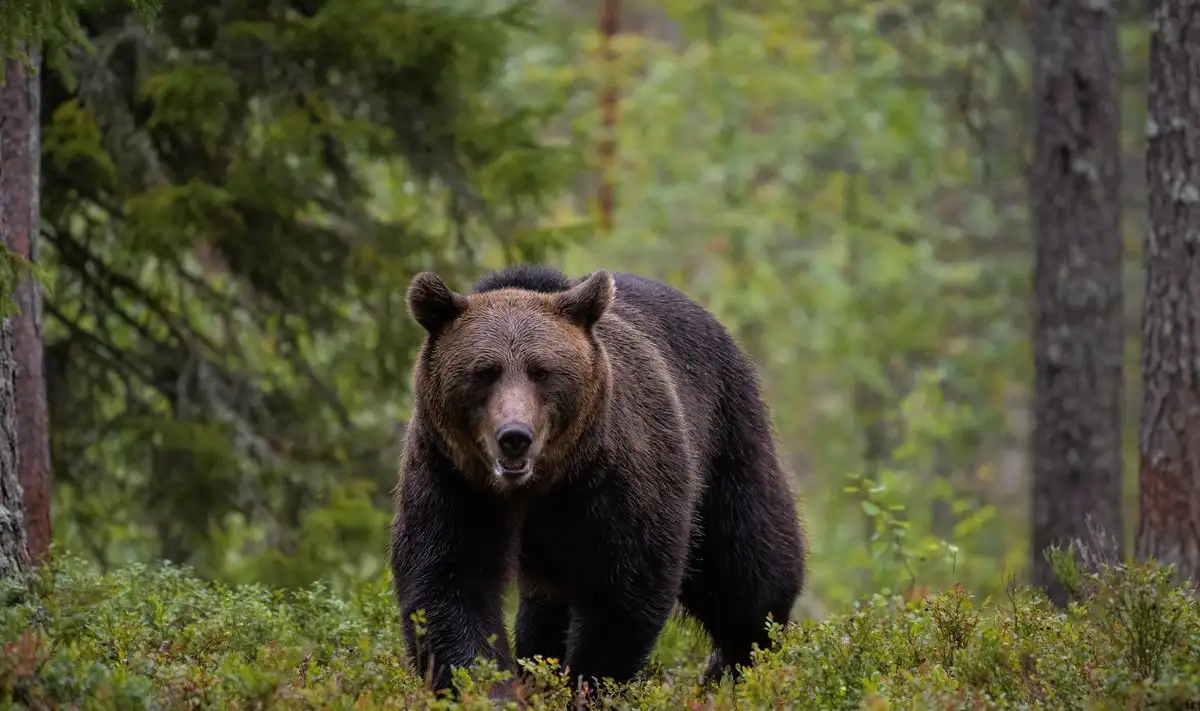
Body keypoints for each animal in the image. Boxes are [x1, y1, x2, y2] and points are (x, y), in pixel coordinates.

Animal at [393, 264, 806, 696]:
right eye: (484, 372)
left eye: (542, 371)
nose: (514, 436)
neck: (541, 483)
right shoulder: (454, 479)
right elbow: (450, 583)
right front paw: (490, 688)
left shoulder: (614, 478)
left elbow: (624, 590)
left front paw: (589, 683)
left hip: (726, 438)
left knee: (747, 567)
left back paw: (740, 664)